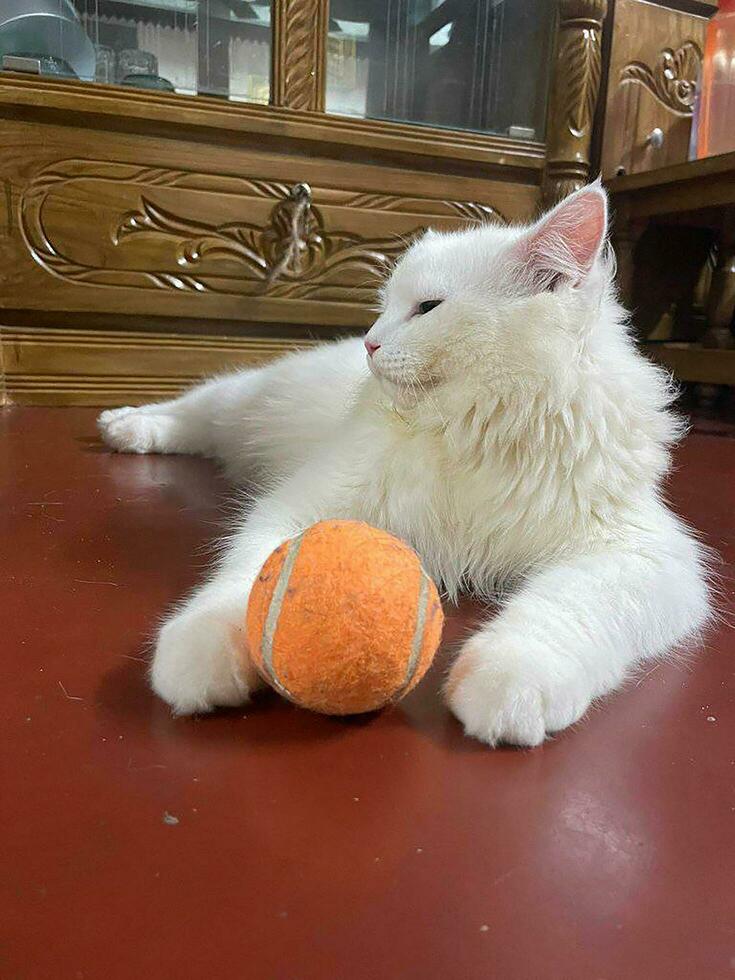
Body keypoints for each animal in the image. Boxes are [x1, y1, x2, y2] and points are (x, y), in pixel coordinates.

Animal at [99, 188, 712, 748]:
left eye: (428, 308)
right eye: (386, 305)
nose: (370, 343)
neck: (470, 432)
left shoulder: (639, 553)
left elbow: (564, 609)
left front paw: (510, 683)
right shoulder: (305, 504)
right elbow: (247, 577)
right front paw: (203, 648)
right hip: (242, 401)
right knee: (192, 407)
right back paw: (125, 425)